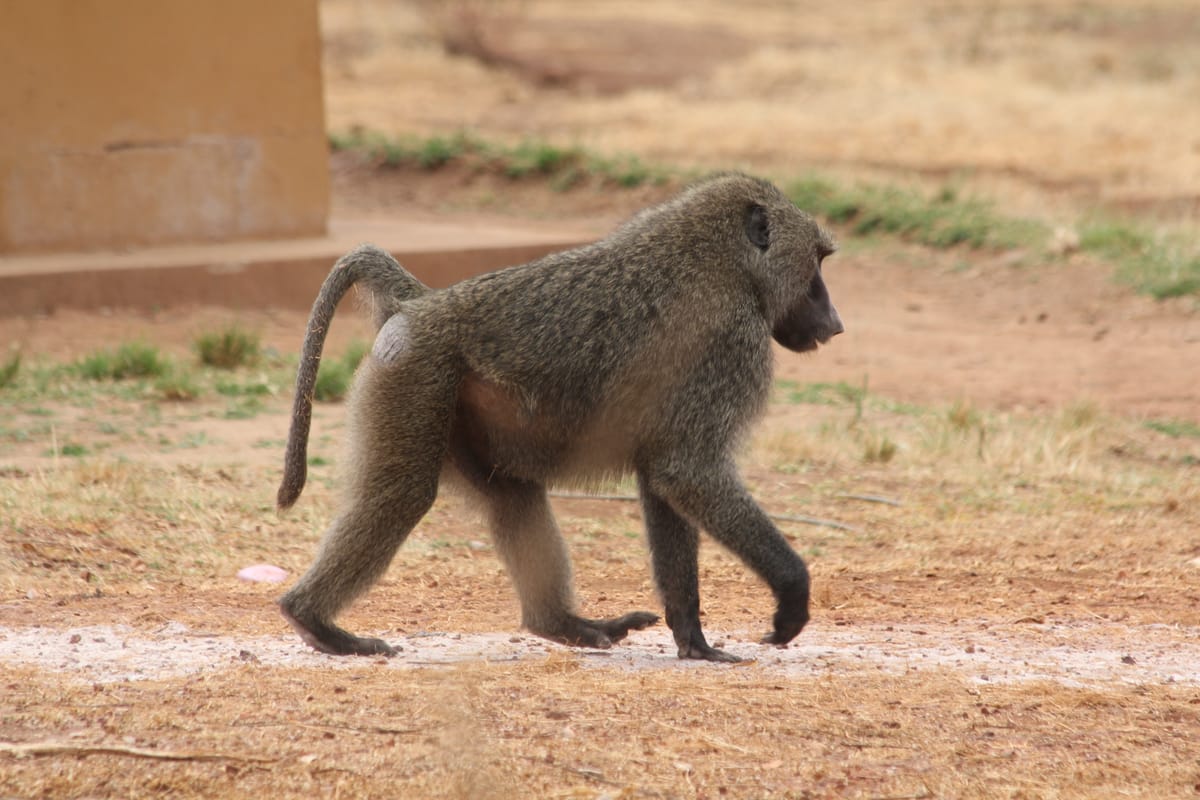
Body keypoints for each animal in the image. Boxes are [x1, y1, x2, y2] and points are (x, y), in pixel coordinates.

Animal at [276, 173, 843, 662]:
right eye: (816, 263)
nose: (835, 324)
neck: (725, 263)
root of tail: (422, 304)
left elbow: (664, 478)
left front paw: (693, 639)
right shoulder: (732, 344)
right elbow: (688, 472)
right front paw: (791, 595)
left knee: (513, 495)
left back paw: (561, 624)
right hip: (416, 376)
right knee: (403, 495)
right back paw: (314, 621)